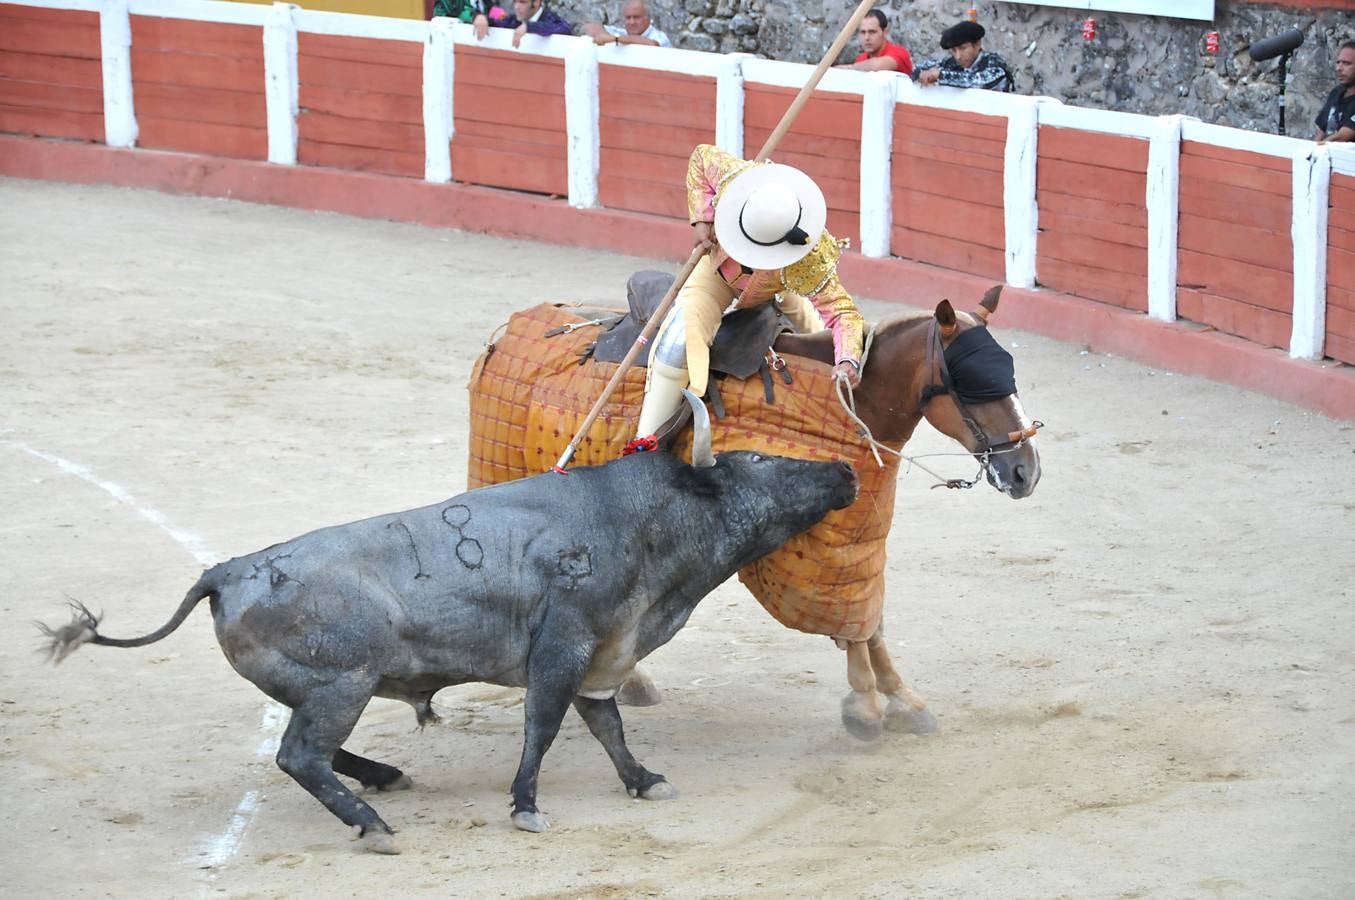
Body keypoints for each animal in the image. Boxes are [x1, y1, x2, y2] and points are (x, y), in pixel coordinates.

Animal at [460, 283, 1040, 737]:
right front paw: (867, 706)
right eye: (972, 381)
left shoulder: (861, 535)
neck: (853, 408)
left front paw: (903, 699)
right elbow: (854, 622)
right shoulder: (826, 543)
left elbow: (869, 616)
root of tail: (507, 329)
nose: (1025, 472)